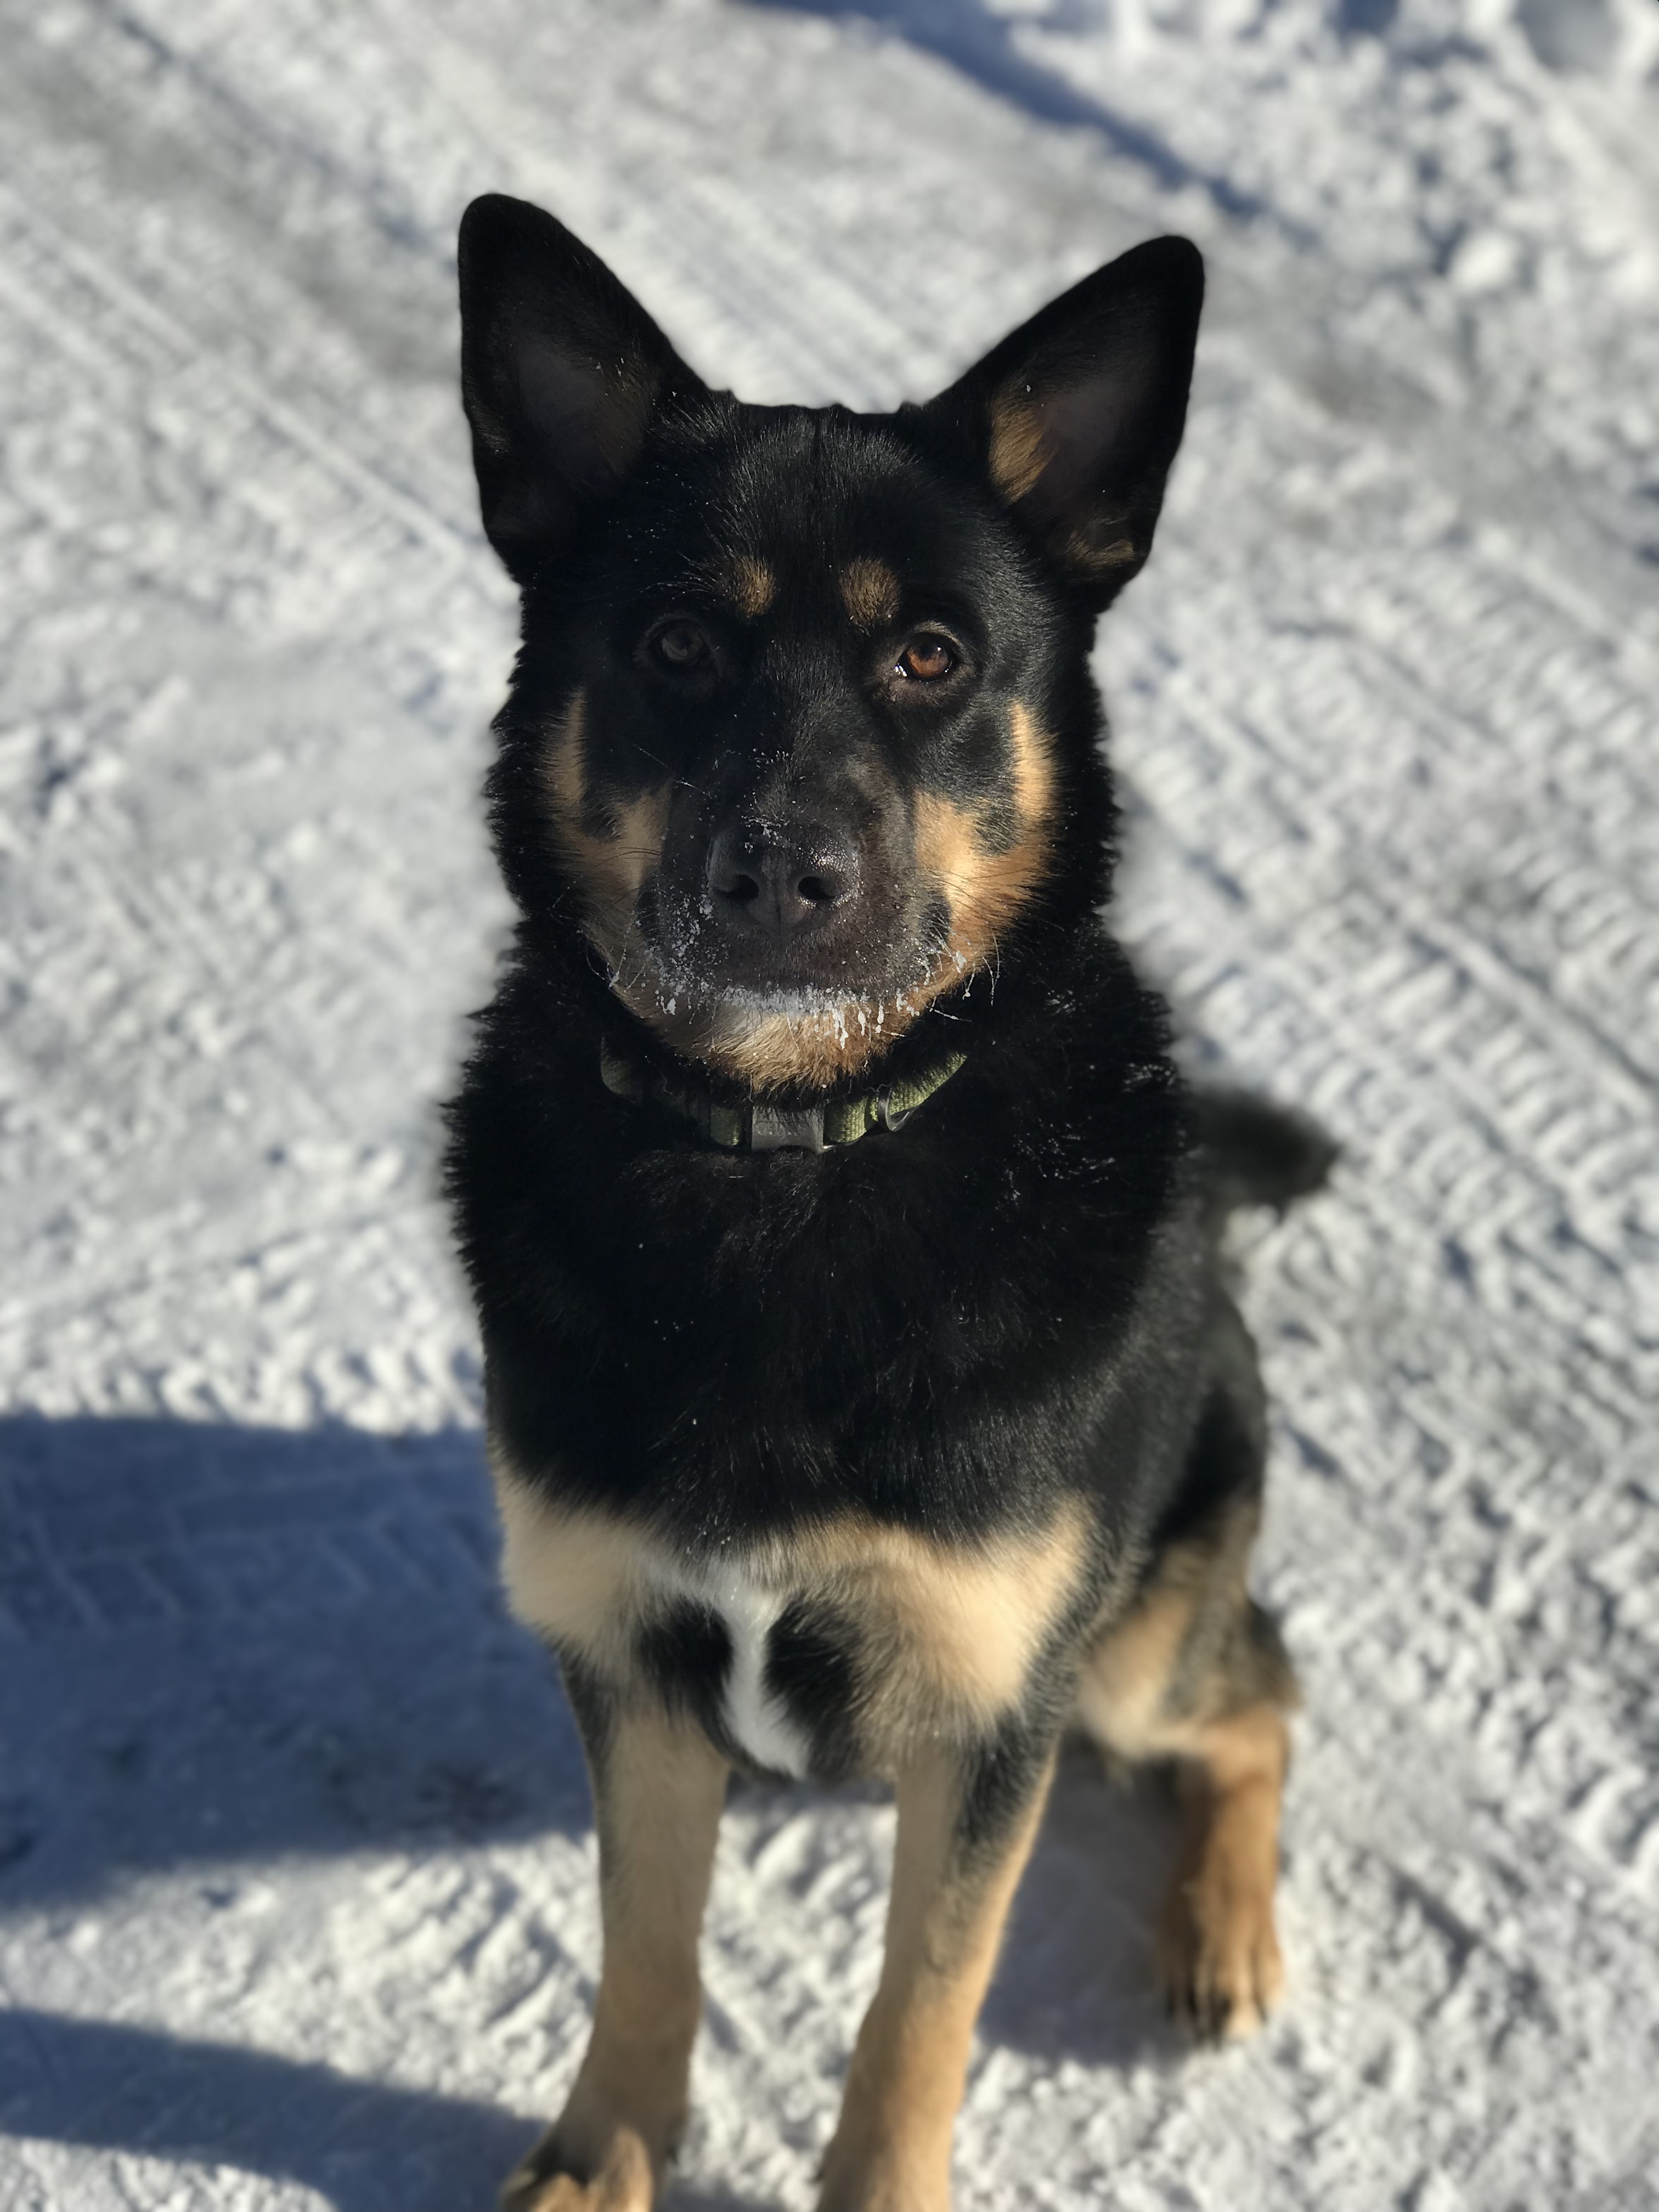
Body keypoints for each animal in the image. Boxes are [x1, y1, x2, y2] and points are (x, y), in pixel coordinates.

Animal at [446, 192, 1331, 2212]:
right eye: (677, 641)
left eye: (930, 658)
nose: (784, 870)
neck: (792, 1150)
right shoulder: (630, 1653)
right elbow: (646, 1949)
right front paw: (603, 2158)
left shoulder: (995, 1708)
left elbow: (917, 2012)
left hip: (1135, 1646)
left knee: (1260, 1692)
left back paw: (1222, 1933)